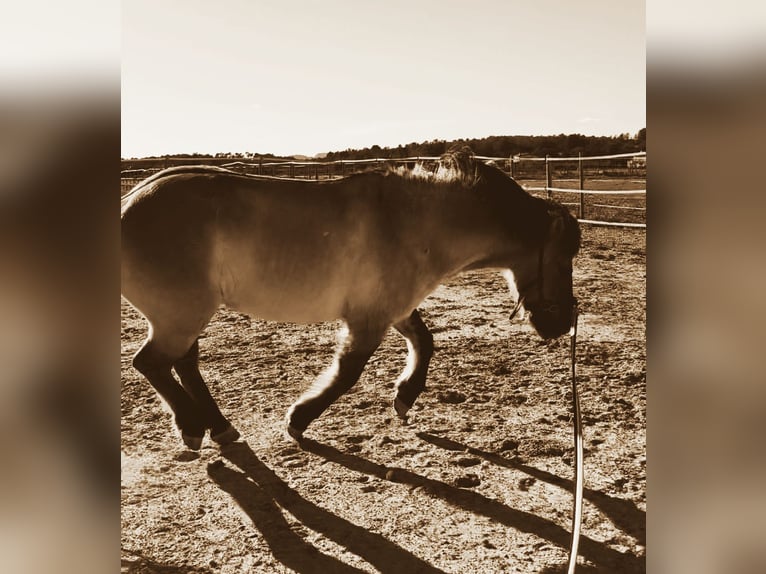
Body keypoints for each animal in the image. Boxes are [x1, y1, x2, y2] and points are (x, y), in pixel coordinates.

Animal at [121, 147, 584, 450]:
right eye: (565, 259)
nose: (563, 323)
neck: (414, 221)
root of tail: (128, 202)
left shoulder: (392, 308)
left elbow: (425, 342)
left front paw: (404, 397)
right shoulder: (368, 319)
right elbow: (347, 373)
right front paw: (298, 420)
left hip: (185, 317)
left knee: (183, 364)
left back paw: (217, 427)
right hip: (180, 316)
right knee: (151, 363)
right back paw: (192, 427)